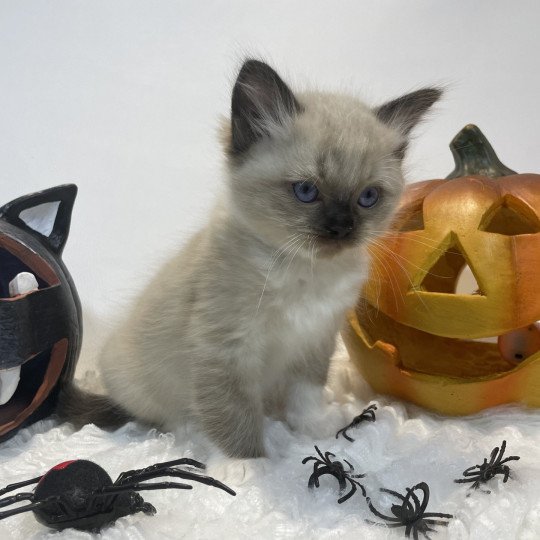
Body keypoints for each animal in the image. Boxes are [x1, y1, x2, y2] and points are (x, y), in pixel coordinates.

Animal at [61, 60, 440, 460]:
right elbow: (233, 413)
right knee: (170, 415)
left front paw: (315, 429)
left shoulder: (316, 338)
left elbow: (306, 395)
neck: (304, 270)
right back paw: (191, 431)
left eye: (367, 197)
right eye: (306, 191)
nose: (341, 227)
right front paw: (245, 465)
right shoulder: (226, 349)